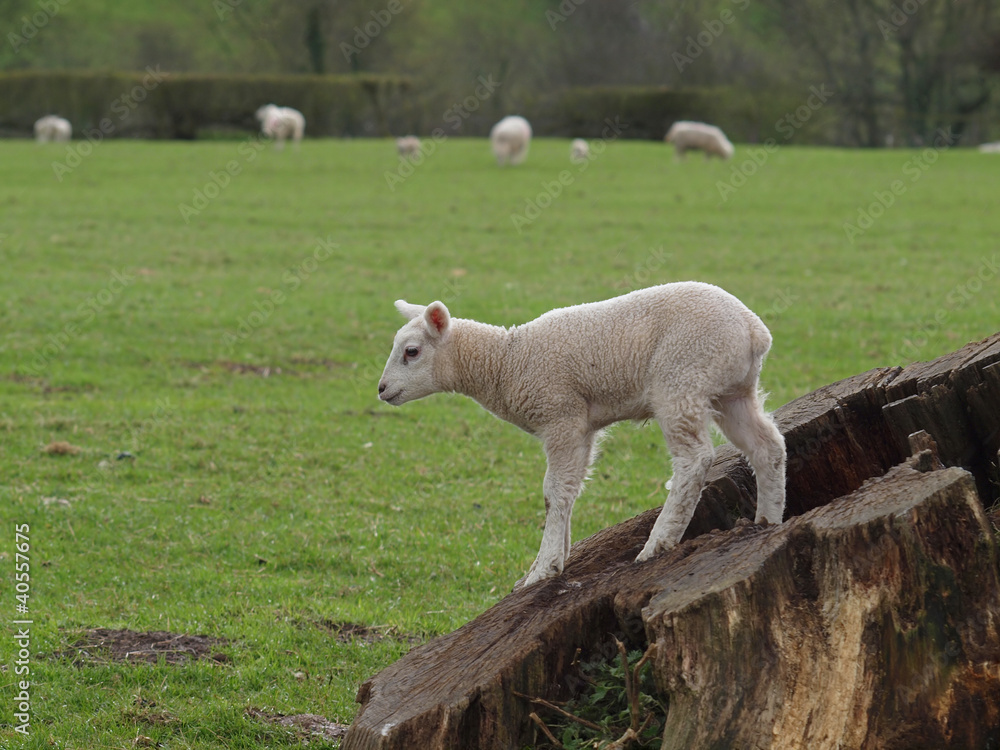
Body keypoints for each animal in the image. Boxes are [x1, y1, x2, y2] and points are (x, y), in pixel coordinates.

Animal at [378, 283, 787, 588]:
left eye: (411, 352)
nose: (381, 390)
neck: (504, 362)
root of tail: (754, 331)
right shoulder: (582, 426)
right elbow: (568, 491)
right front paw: (559, 557)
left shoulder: (561, 417)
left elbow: (553, 491)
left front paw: (542, 569)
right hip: (731, 390)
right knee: (767, 446)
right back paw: (767, 520)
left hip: (681, 378)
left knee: (694, 459)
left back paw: (658, 543)